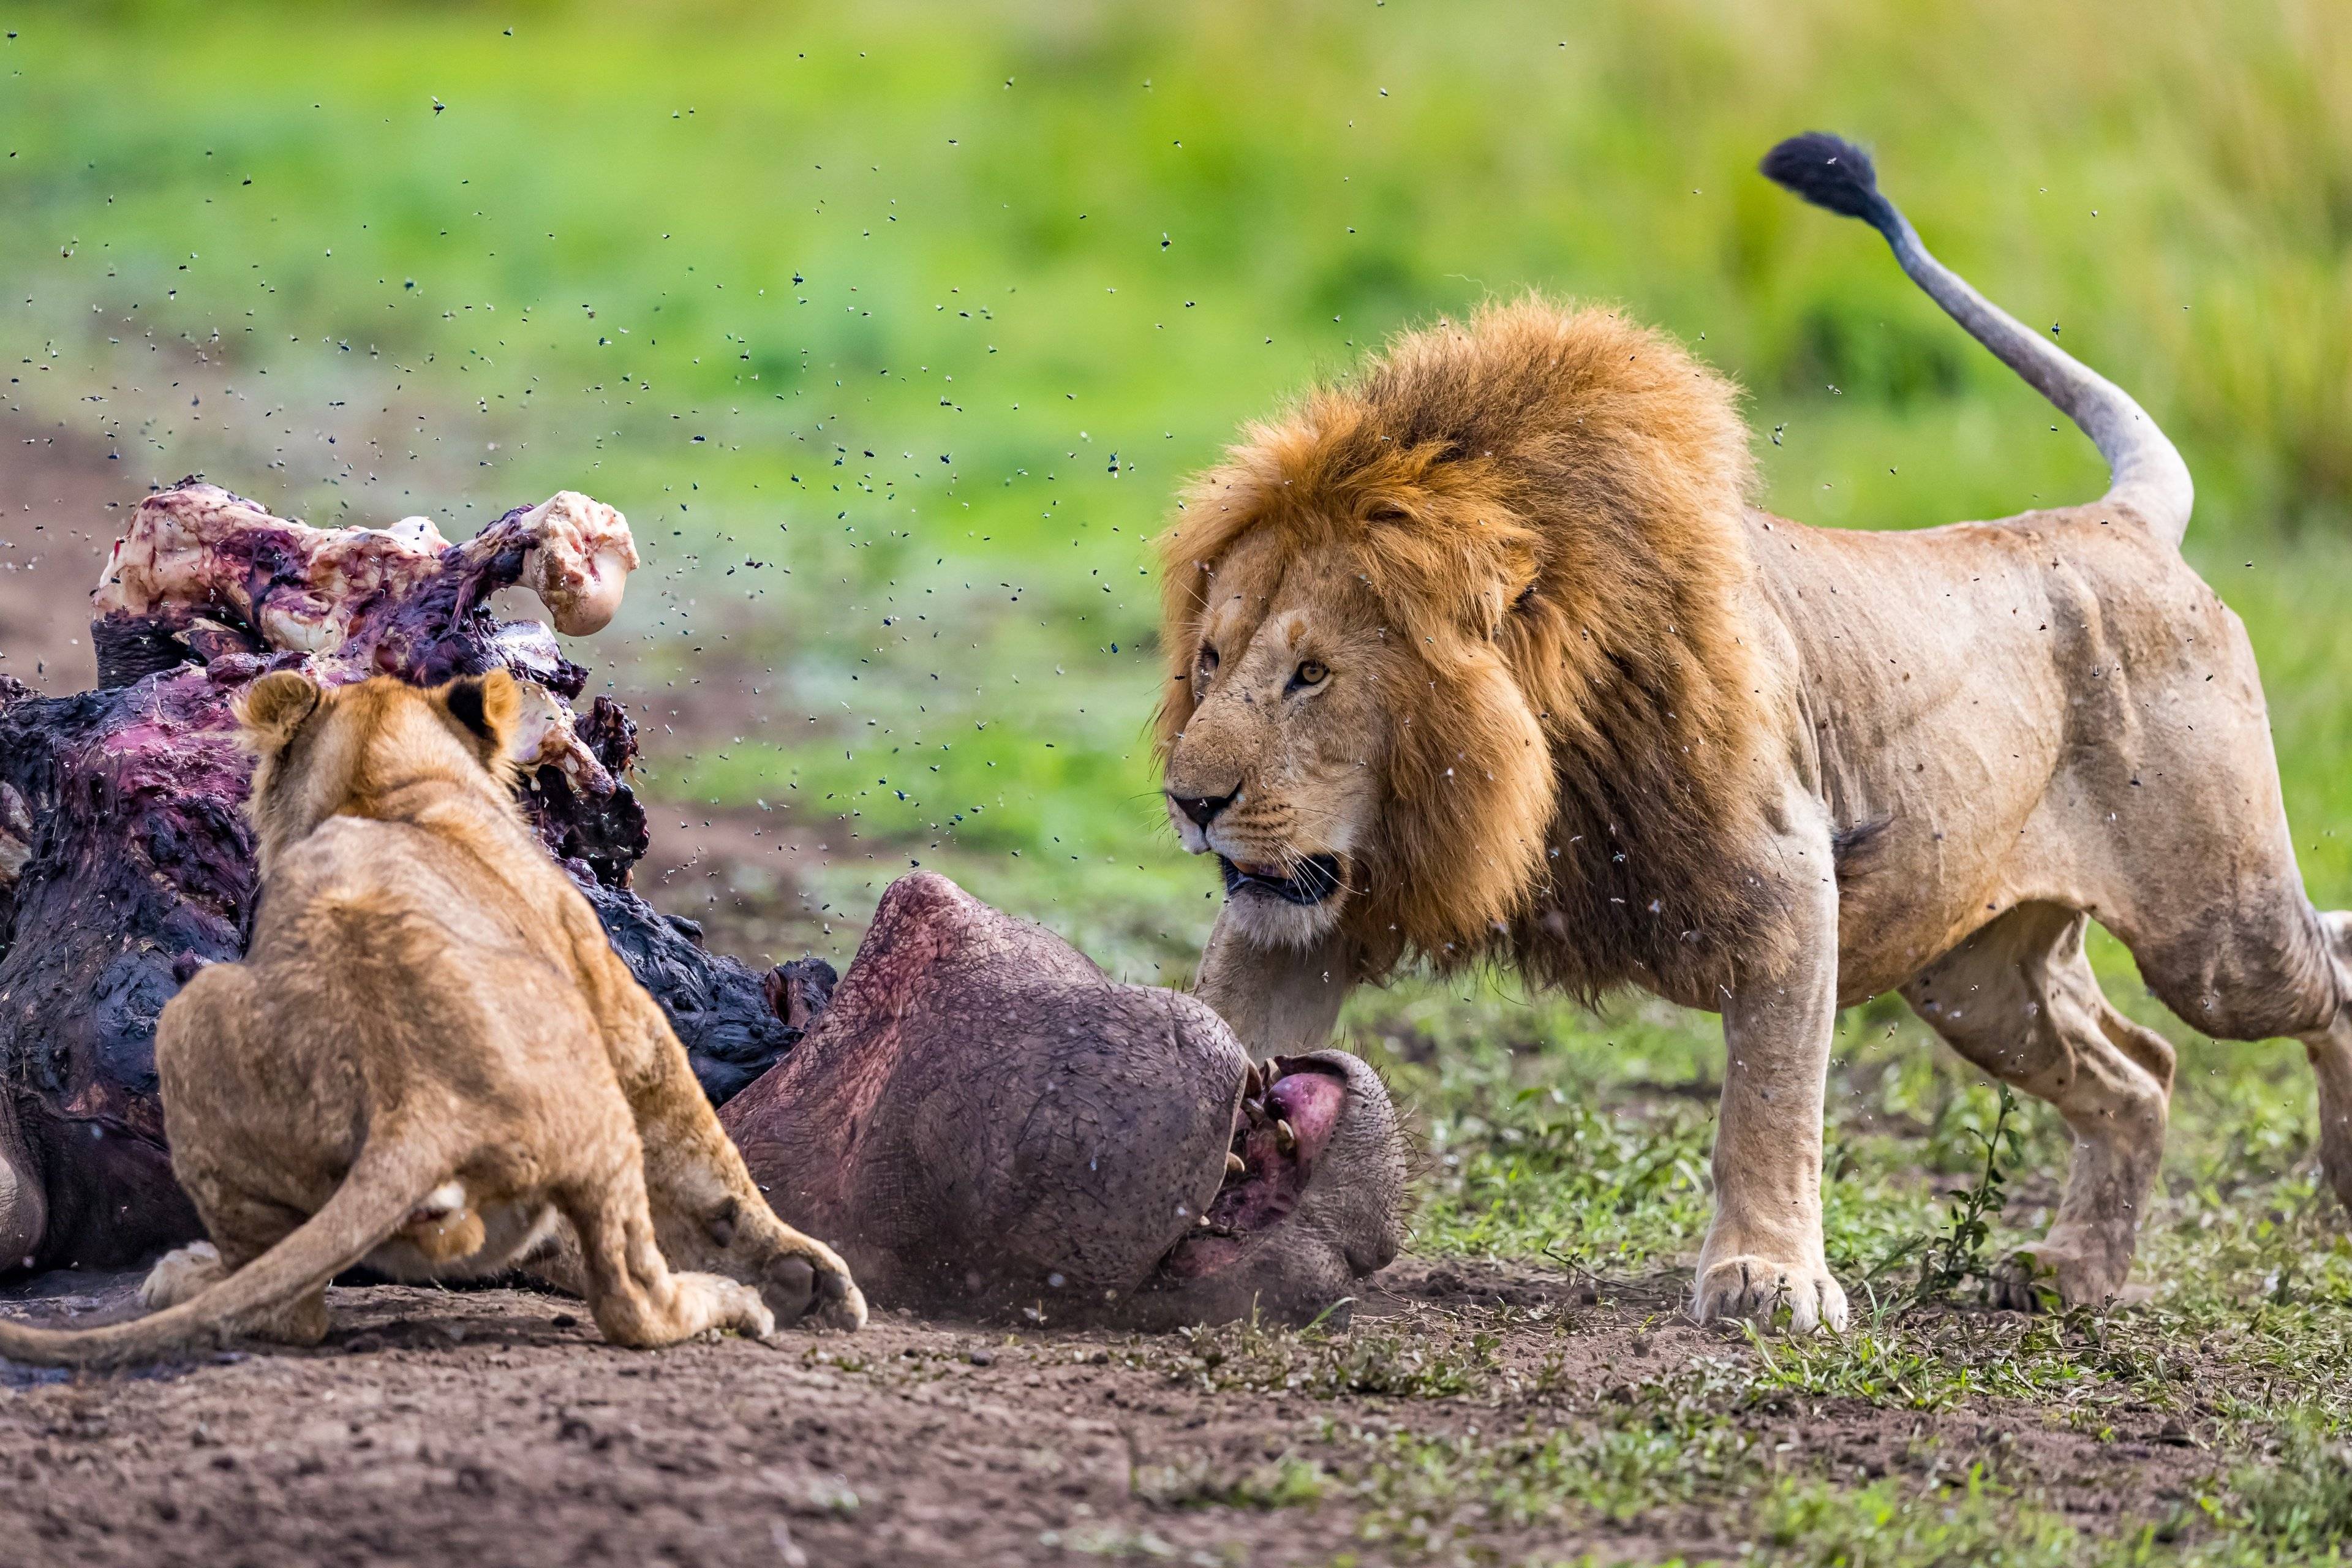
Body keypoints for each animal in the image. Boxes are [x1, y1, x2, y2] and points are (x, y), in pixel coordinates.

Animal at [1152, 138, 2352, 1335]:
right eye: (1209, 661)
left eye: (1312, 675)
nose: (1190, 802)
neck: (1527, 764)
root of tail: (2119, 520)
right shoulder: (1299, 914)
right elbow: (1227, 1020)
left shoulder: (1788, 880)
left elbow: (1770, 1106)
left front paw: (1770, 1278)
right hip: (1977, 977)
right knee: (2140, 1070)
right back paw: (2072, 1272)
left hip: (2217, 936)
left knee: (2322, 972)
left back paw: (2338, 1184)